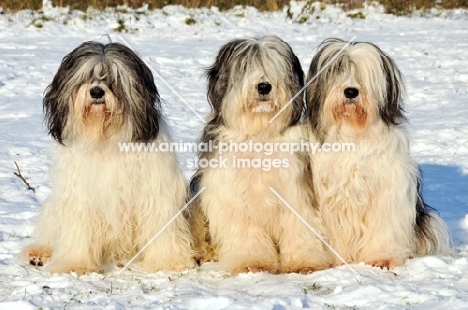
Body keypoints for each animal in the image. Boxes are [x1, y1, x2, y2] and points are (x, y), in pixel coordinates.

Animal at [22, 40, 195, 274]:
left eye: (115, 78)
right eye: (86, 76)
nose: (96, 92)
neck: (105, 138)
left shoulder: (157, 191)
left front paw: (169, 261)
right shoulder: (79, 194)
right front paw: (74, 264)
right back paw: (38, 252)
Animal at [188, 35, 330, 274]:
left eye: (274, 66)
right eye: (245, 66)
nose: (264, 86)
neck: (259, 132)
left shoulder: (294, 191)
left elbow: (298, 227)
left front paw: (304, 262)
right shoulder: (233, 197)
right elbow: (246, 233)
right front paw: (253, 262)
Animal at [306, 37, 452, 268]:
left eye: (362, 74)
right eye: (338, 69)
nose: (351, 91)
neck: (353, 135)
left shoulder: (387, 191)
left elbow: (384, 225)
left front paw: (382, 257)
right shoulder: (329, 194)